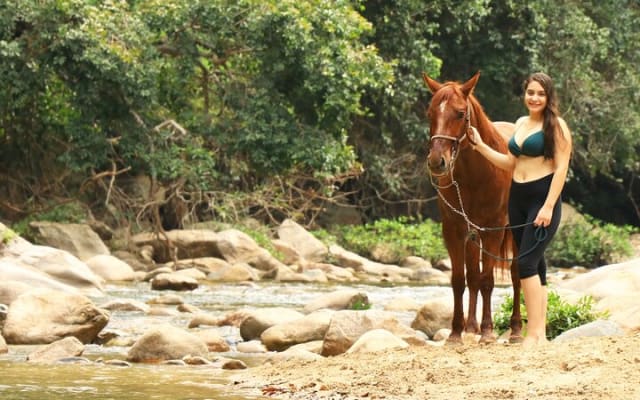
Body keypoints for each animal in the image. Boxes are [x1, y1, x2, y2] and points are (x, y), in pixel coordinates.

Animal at [422, 71, 522, 344]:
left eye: (460, 113)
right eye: (430, 113)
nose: (437, 162)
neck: (477, 173)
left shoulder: (493, 230)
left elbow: (488, 280)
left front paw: (487, 332)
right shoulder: (454, 229)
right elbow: (460, 280)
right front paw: (456, 333)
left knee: (516, 274)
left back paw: (516, 329)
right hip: (472, 235)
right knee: (473, 277)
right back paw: (470, 327)